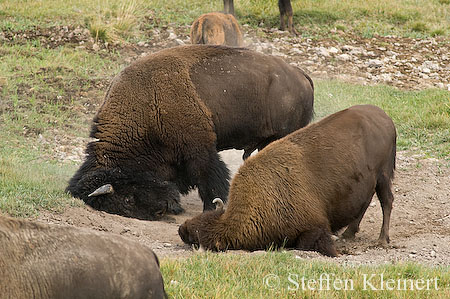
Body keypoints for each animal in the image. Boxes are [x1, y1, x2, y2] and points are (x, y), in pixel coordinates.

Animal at [66, 44, 312, 220]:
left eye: (127, 200)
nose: (161, 210)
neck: (145, 104)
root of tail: (300, 75)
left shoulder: (200, 150)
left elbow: (210, 179)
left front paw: (211, 208)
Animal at [178, 105, 396, 258]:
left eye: (199, 236)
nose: (181, 229)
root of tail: (385, 118)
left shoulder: (315, 227)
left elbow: (308, 243)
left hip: (384, 175)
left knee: (386, 201)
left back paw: (382, 240)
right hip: (370, 181)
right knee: (366, 203)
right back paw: (348, 234)